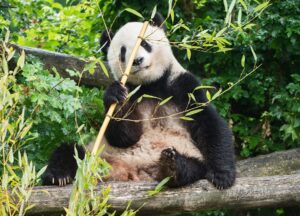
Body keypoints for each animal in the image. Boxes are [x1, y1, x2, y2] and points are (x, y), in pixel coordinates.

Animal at [42, 13, 236, 189]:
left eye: (144, 43)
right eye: (123, 51)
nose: (137, 60)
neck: (150, 84)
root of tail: (130, 171)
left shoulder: (182, 86)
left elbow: (209, 123)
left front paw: (222, 176)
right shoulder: (133, 92)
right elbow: (125, 136)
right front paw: (115, 96)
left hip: (187, 153)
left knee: (193, 167)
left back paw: (172, 166)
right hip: (98, 153)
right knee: (70, 151)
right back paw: (57, 176)